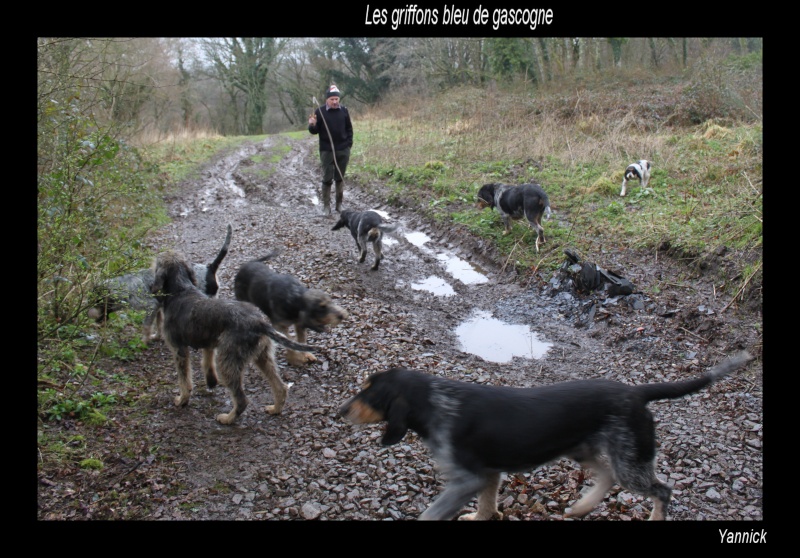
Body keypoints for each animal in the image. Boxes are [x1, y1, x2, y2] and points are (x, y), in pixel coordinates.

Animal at [88, 223, 231, 346]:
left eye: (97, 302)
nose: (93, 320)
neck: (124, 287)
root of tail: (210, 268)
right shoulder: (158, 308)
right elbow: (158, 324)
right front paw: (156, 337)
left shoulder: (151, 306)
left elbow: (146, 326)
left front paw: (143, 341)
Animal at [152, 249, 314, 424]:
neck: (181, 290)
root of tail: (259, 322)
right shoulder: (208, 343)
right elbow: (207, 363)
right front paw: (210, 381)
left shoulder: (179, 350)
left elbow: (184, 380)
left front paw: (182, 400)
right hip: (262, 357)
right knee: (280, 387)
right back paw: (275, 409)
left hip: (228, 362)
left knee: (242, 400)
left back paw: (227, 418)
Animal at [340, 352, 752, 524]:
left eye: (369, 395)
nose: (341, 411)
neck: (435, 400)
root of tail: (636, 393)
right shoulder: (488, 474)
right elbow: (487, 506)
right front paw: (480, 516)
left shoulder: (467, 478)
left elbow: (431, 513)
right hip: (586, 450)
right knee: (606, 476)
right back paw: (581, 508)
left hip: (631, 461)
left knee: (662, 490)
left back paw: (651, 517)